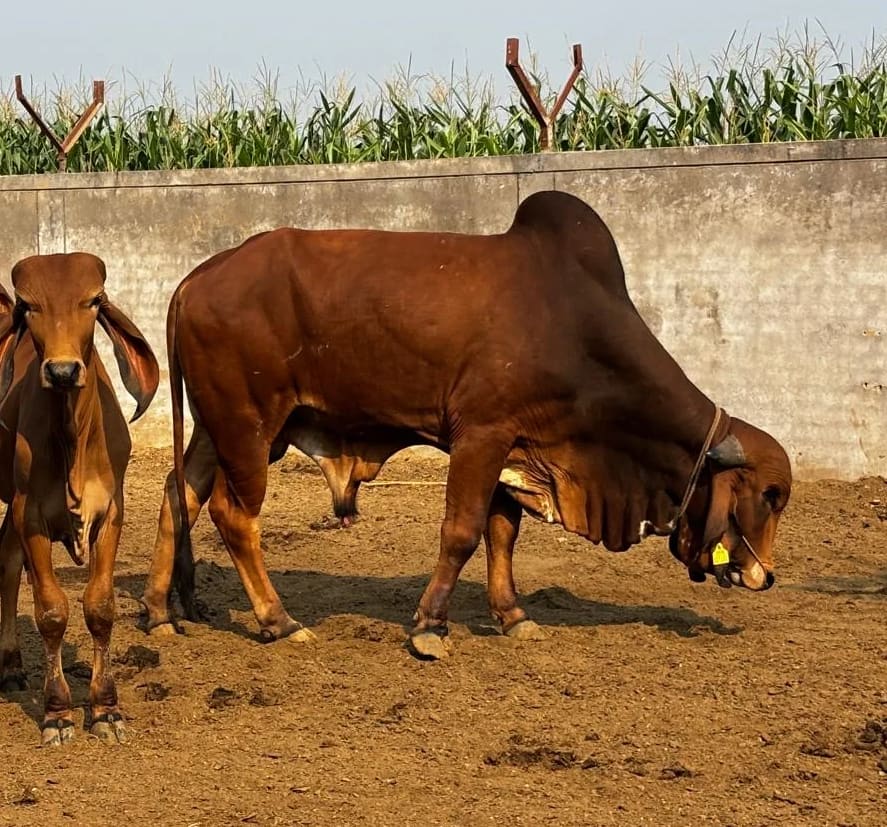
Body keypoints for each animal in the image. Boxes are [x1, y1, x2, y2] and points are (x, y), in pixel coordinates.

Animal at [0, 253, 159, 744]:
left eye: (93, 300)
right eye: (29, 305)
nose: (63, 371)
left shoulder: (111, 513)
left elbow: (100, 607)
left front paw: (105, 709)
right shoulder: (28, 513)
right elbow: (51, 611)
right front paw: (58, 713)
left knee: (6, 562)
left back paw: (11, 667)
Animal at [142, 191, 792, 660]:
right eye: (770, 495)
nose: (765, 577)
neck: (573, 327)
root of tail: (197, 278)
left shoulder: (518, 448)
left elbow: (501, 534)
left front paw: (514, 615)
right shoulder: (481, 435)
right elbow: (461, 532)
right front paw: (430, 627)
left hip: (217, 429)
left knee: (178, 494)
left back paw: (158, 613)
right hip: (249, 426)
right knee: (232, 515)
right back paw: (279, 622)